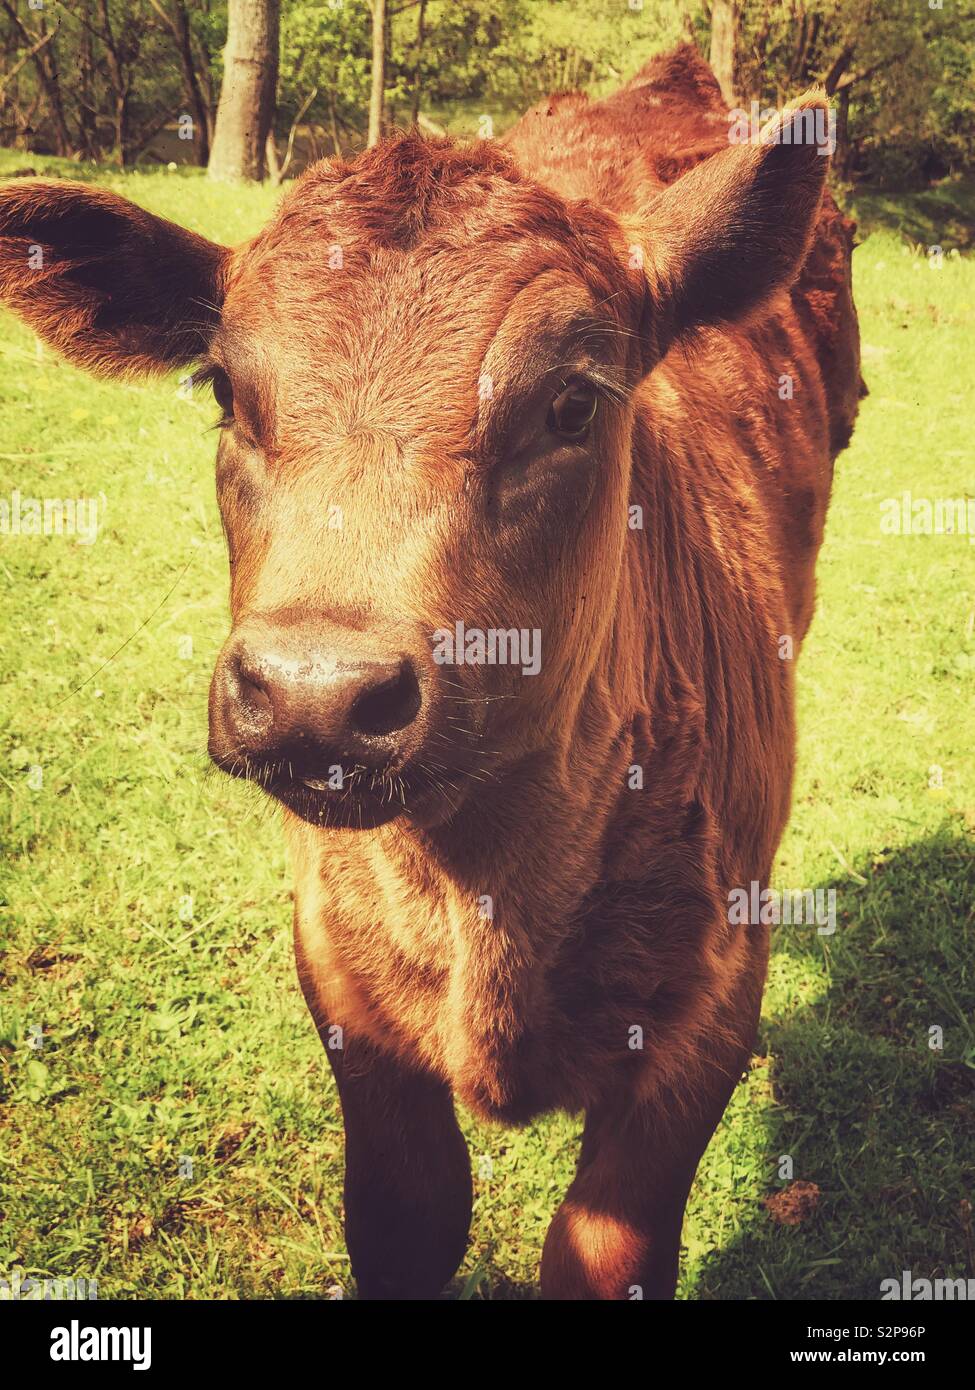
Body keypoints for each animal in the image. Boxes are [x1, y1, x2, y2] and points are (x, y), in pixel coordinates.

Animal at [0, 44, 861, 1299]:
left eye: (572, 400)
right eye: (224, 392)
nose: (312, 692)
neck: (488, 888)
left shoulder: (710, 1004)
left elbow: (603, 1251)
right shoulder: (340, 971)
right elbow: (409, 1216)